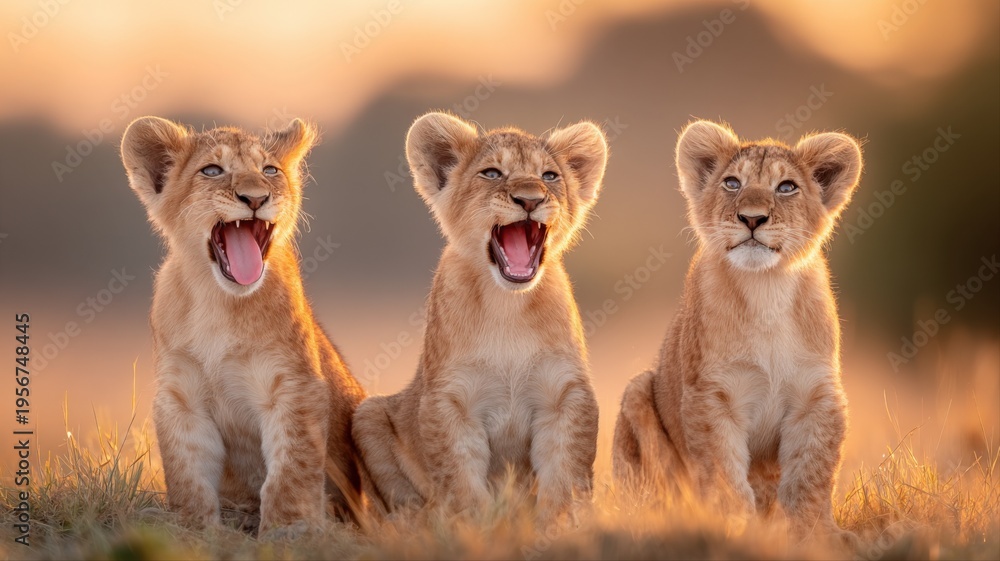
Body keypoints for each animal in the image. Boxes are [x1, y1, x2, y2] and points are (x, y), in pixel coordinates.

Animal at [120, 116, 366, 536]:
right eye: (212, 171)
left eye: (270, 170)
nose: (255, 199)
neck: (219, 302)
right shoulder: (181, 395)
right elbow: (186, 470)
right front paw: (192, 527)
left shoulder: (295, 386)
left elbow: (292, 467)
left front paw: (290, 528)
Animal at [352, 112, 606, 525]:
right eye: (492, 173)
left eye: (549, 176)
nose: (531, 199)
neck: (507, 306)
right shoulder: (449, 400)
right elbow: (460, 480)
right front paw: (475, 526)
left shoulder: (564, 394)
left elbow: (565, 475)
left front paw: (560, 525)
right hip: (368, 415)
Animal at [611, 120, 863, 547]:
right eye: (732, 183)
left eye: (786, 187)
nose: (752, 218)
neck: (766, 290)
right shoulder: (711, 394)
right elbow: (723, 473)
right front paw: (733, 526)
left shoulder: (816, 396)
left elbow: (810, 476)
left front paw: (821, 536)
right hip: (637, 390)